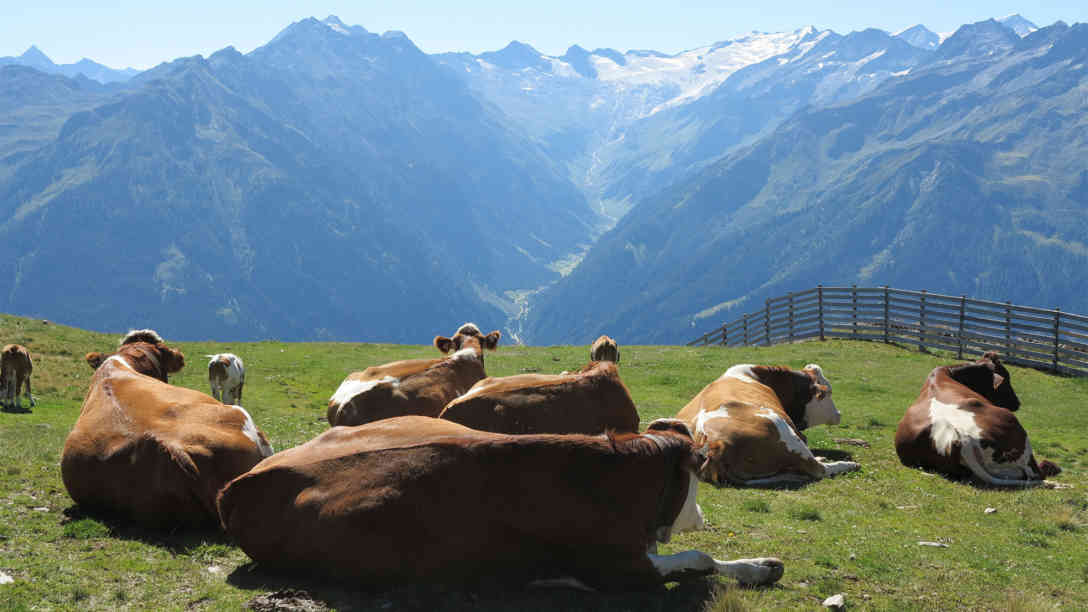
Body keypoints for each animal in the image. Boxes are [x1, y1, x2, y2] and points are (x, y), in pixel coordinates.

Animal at [216, 416, 784, 589]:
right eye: (697, 483)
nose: (704, 515)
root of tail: (236, 485)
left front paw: (760, 564)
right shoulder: (616, 566)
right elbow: (700, 560)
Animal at [677, 363, 859, 488]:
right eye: (829, 392)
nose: (839, 414)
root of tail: (716, 444)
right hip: (782, 429)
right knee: (818, 469)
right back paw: (848, 465)